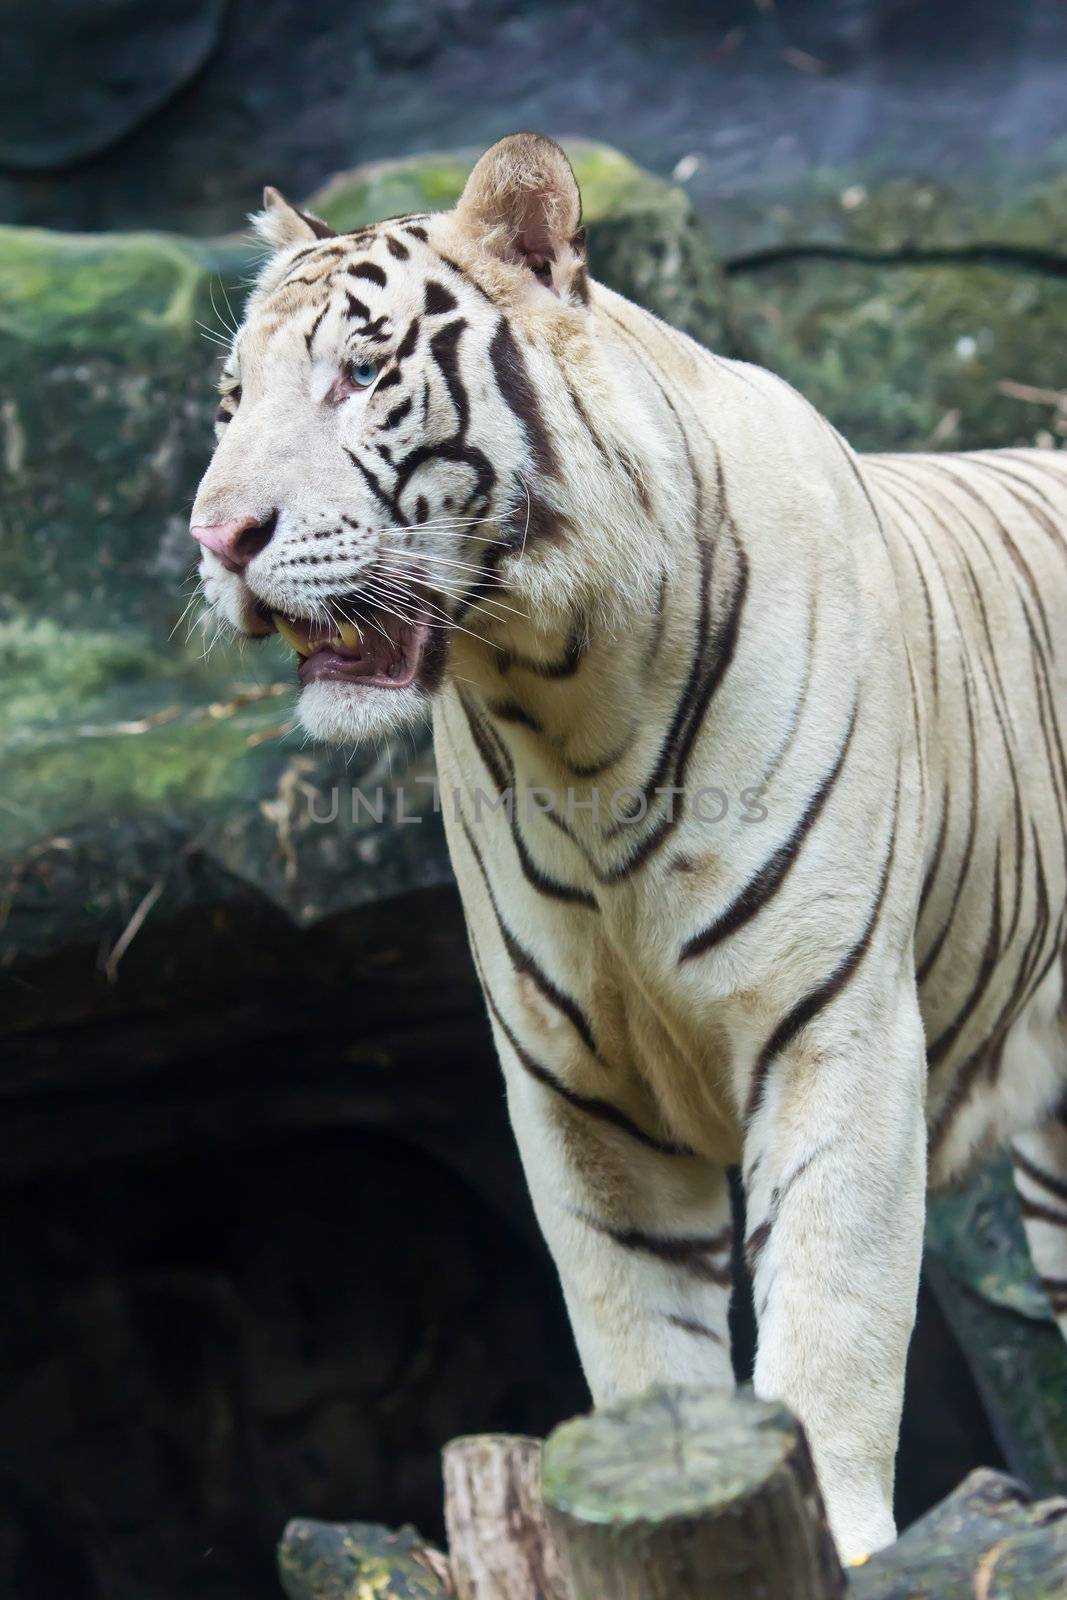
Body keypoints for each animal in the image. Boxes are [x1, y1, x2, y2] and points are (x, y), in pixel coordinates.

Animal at [187, 131, 1067, 1555]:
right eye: (229, 398)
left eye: (362, 374)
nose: (217, 539)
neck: (559, 703)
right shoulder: (578, 1093)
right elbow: (639, 1341)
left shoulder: (834, 1028)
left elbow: (829, 1321)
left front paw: (849, 1544)